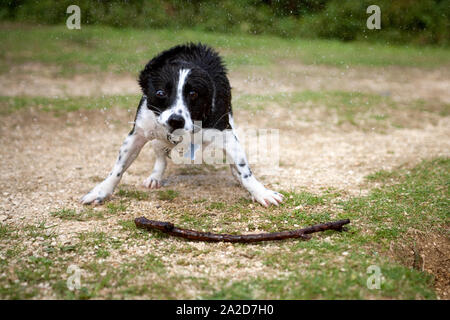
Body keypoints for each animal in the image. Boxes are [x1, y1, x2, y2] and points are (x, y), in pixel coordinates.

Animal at [81, 42, 284, 206]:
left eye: (193, 94)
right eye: (161, 93)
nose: (175, 120)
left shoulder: (225, 133)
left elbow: (245, 170)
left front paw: (260, 192)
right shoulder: (138, 133)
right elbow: (117, 169)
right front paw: (100, 191)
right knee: (160, 155)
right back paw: (155, 177)